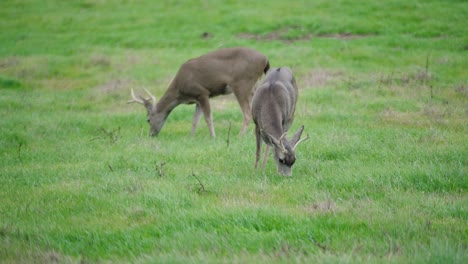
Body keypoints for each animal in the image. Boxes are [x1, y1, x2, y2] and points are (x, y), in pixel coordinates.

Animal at [128, 47, 268, 138]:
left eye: (148, 119)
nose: (151, 134)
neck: (180, 92)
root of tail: (265, 59)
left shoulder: (202, 92)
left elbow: (208, 118)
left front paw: (213, 137)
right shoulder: (197, 99)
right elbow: (195, 119)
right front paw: (191, 137)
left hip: (241, 84)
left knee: (247, 113)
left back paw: (240, 136)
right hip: (254, 85)